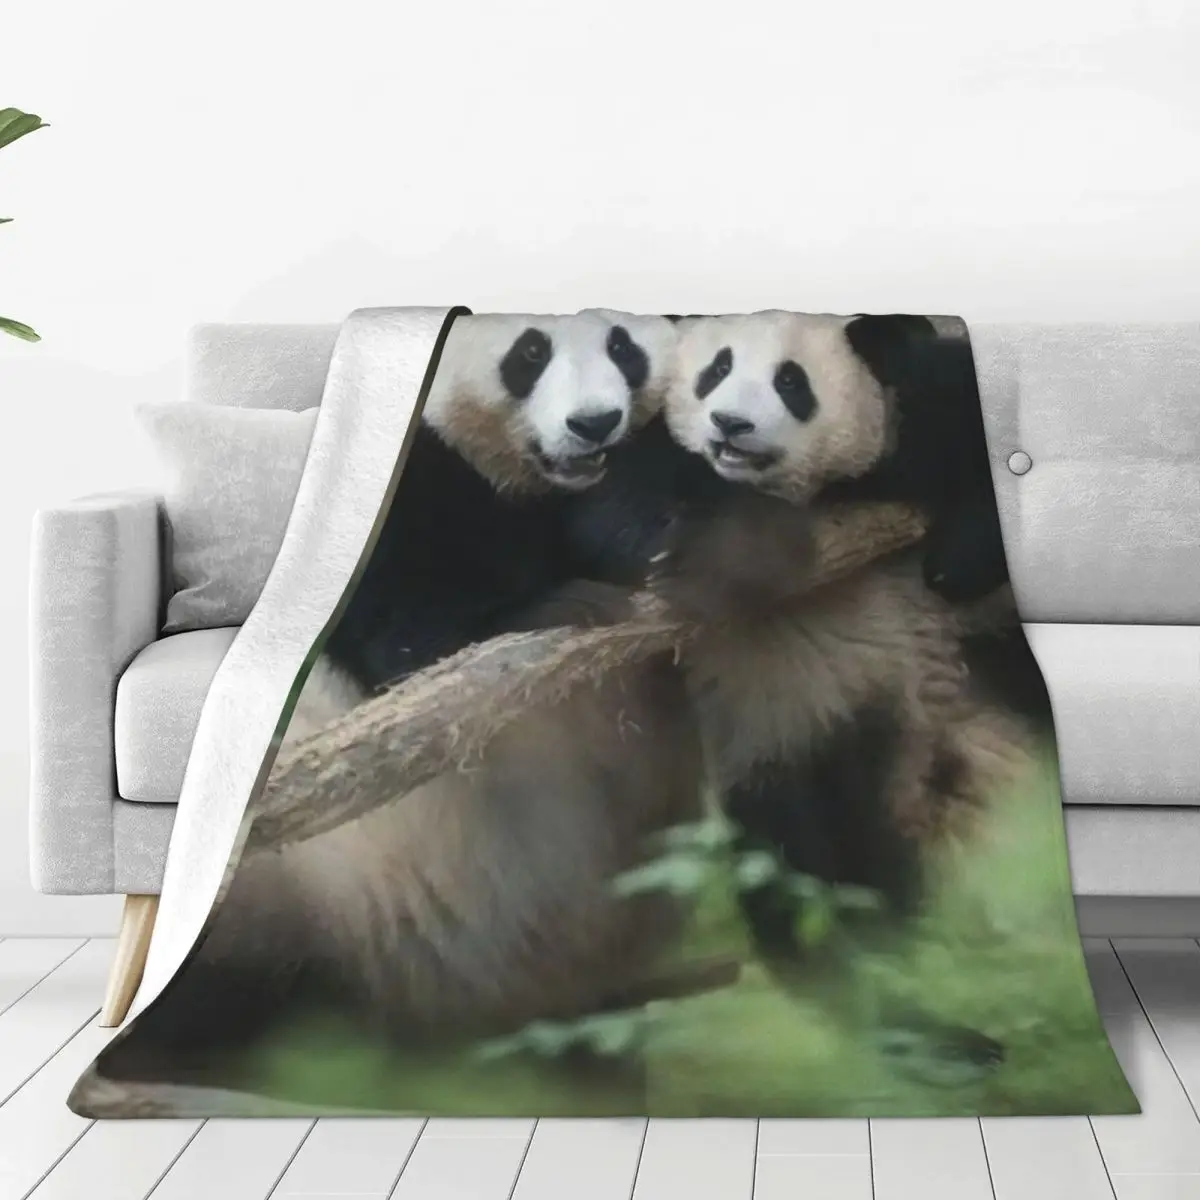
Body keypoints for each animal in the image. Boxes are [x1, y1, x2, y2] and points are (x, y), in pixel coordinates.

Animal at [652, 310, 1043, 973]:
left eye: (791, 382)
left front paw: (956, 559)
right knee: (803, 856)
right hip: (799, 727)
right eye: (716, 368)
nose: (730, 424)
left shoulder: (920, 408)